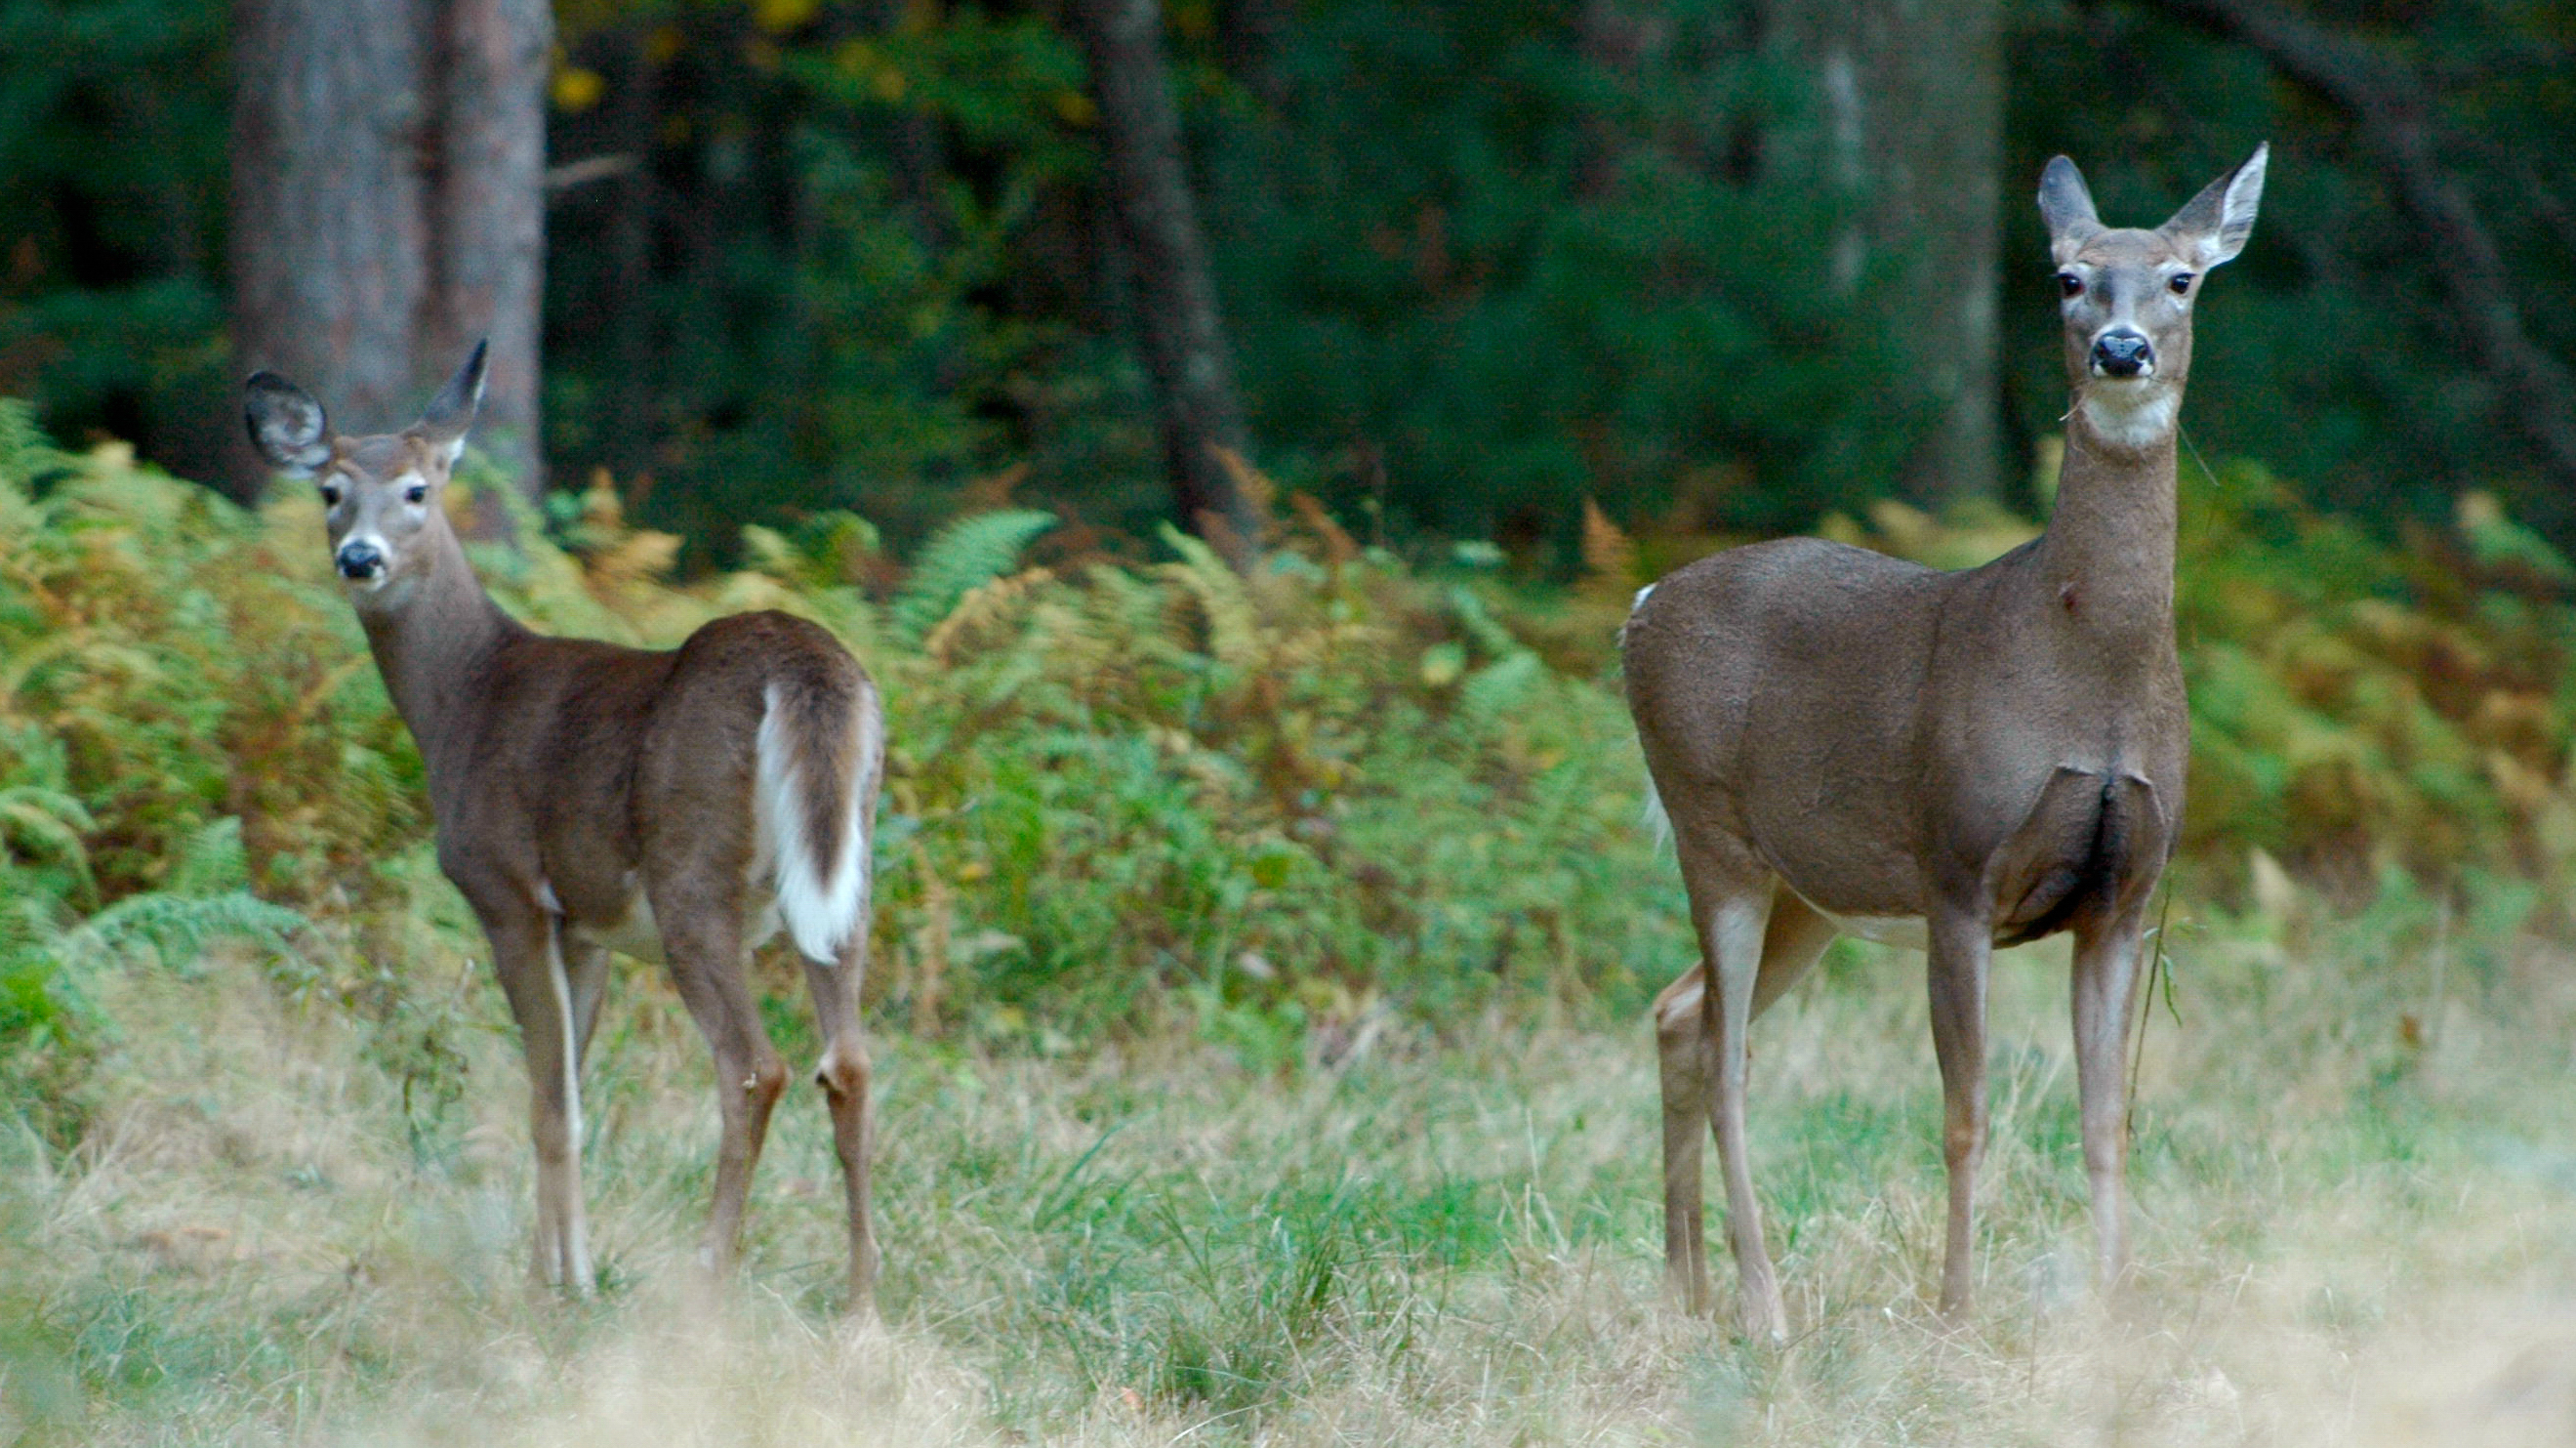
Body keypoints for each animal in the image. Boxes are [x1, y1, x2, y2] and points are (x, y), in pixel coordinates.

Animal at [243, 342, 885, 1303]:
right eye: (330, 490)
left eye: (418, 489)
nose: (359, 558)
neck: (464, 698)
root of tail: (805, 666)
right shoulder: (586, 926)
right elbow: (571, 1092)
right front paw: (558, 1266)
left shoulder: (506, 887)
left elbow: (549, 1103)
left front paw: (561, 1286)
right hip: (844, 875)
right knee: (848, 1062)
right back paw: (862, 1303)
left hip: (693, 873)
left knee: (753, 1065)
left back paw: (709, 1278)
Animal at [1627, 146, 2256, 1329]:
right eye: (2066, 277)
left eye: (2182, 277)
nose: (2120, 348)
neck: (2088, 676)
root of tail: (1637, 607)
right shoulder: (1959, 862)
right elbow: (1963, 1111)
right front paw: (1956, 1306)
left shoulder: (2124, 894)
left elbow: (2106, 1119)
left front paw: (2115, 1309)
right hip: (1708, 823)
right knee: (1729, 1057)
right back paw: (1763, 1307)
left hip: (1810, 882)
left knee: (1679, 1014)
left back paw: (1686, 1294)